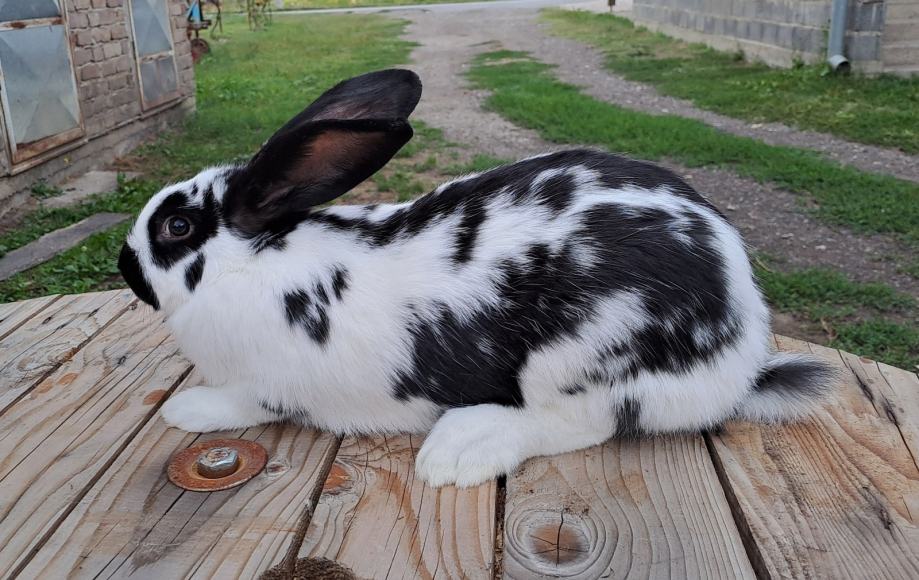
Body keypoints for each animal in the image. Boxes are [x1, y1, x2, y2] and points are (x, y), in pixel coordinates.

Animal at [118, 69, 836, 488]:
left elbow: (239, 406)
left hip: (579, 359)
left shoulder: (267, 385)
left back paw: (461, 451)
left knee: (573, 425)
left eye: (177, 227)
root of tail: (742, 358)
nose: (125, 268)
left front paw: (186, 410)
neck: (251, 263)